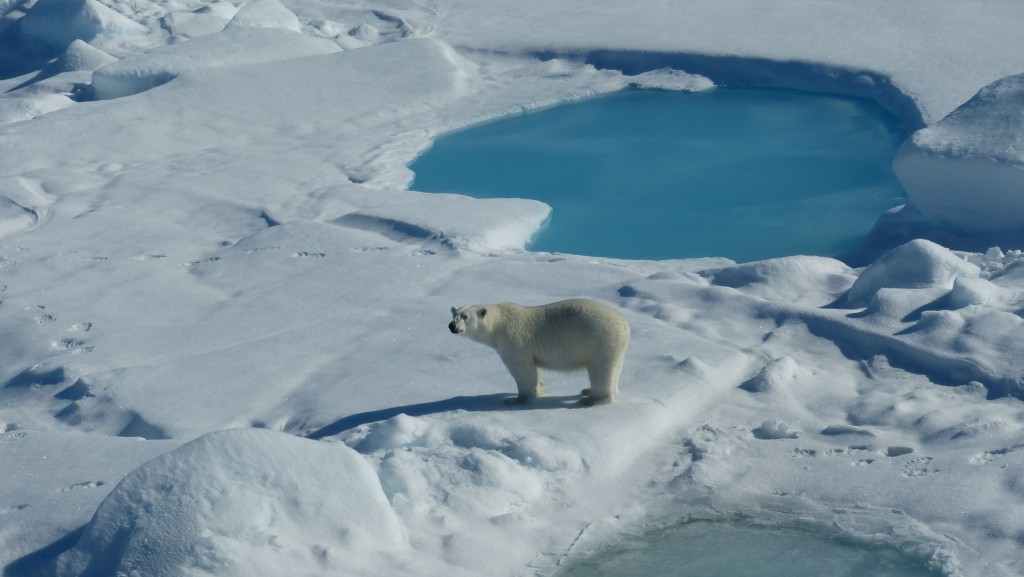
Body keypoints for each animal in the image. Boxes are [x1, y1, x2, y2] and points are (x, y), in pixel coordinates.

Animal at [450, 297, 626, 405]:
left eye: (465, 317)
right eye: (454, 314)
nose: (452, 326)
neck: (498, 324)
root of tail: (625, 324)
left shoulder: (514, 340)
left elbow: (523, 370)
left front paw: (517, 399)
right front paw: (540, 389)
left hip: (601, 341)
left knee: (601, 370)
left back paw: (592, 399)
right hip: (616, 346)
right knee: (615, 370)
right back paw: (589, 391)